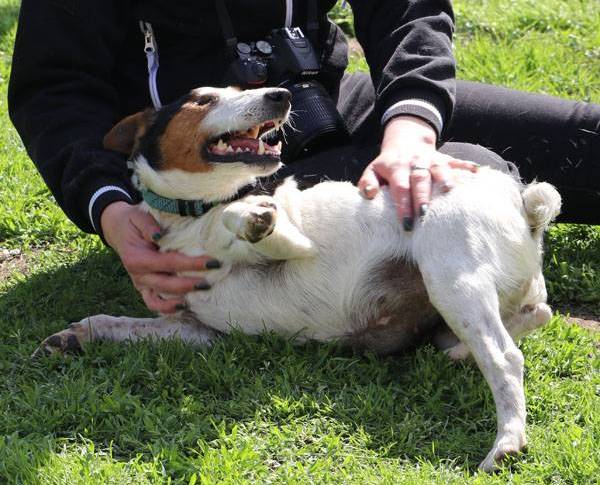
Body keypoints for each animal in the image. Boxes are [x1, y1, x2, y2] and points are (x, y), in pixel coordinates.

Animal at [36, 86, 561, 471]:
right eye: (203, 99)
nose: (279, 94)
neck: (189, 216)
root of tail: (522, 205)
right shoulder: (195, 330)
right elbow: (114, 322)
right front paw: (73, 336)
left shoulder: (292, 240)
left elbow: (241, 221)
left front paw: (248, 218)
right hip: (465, 294)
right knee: (536, 310)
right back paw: (457, 352)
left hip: (451, 276)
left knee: (507, 356)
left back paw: (507, 441)